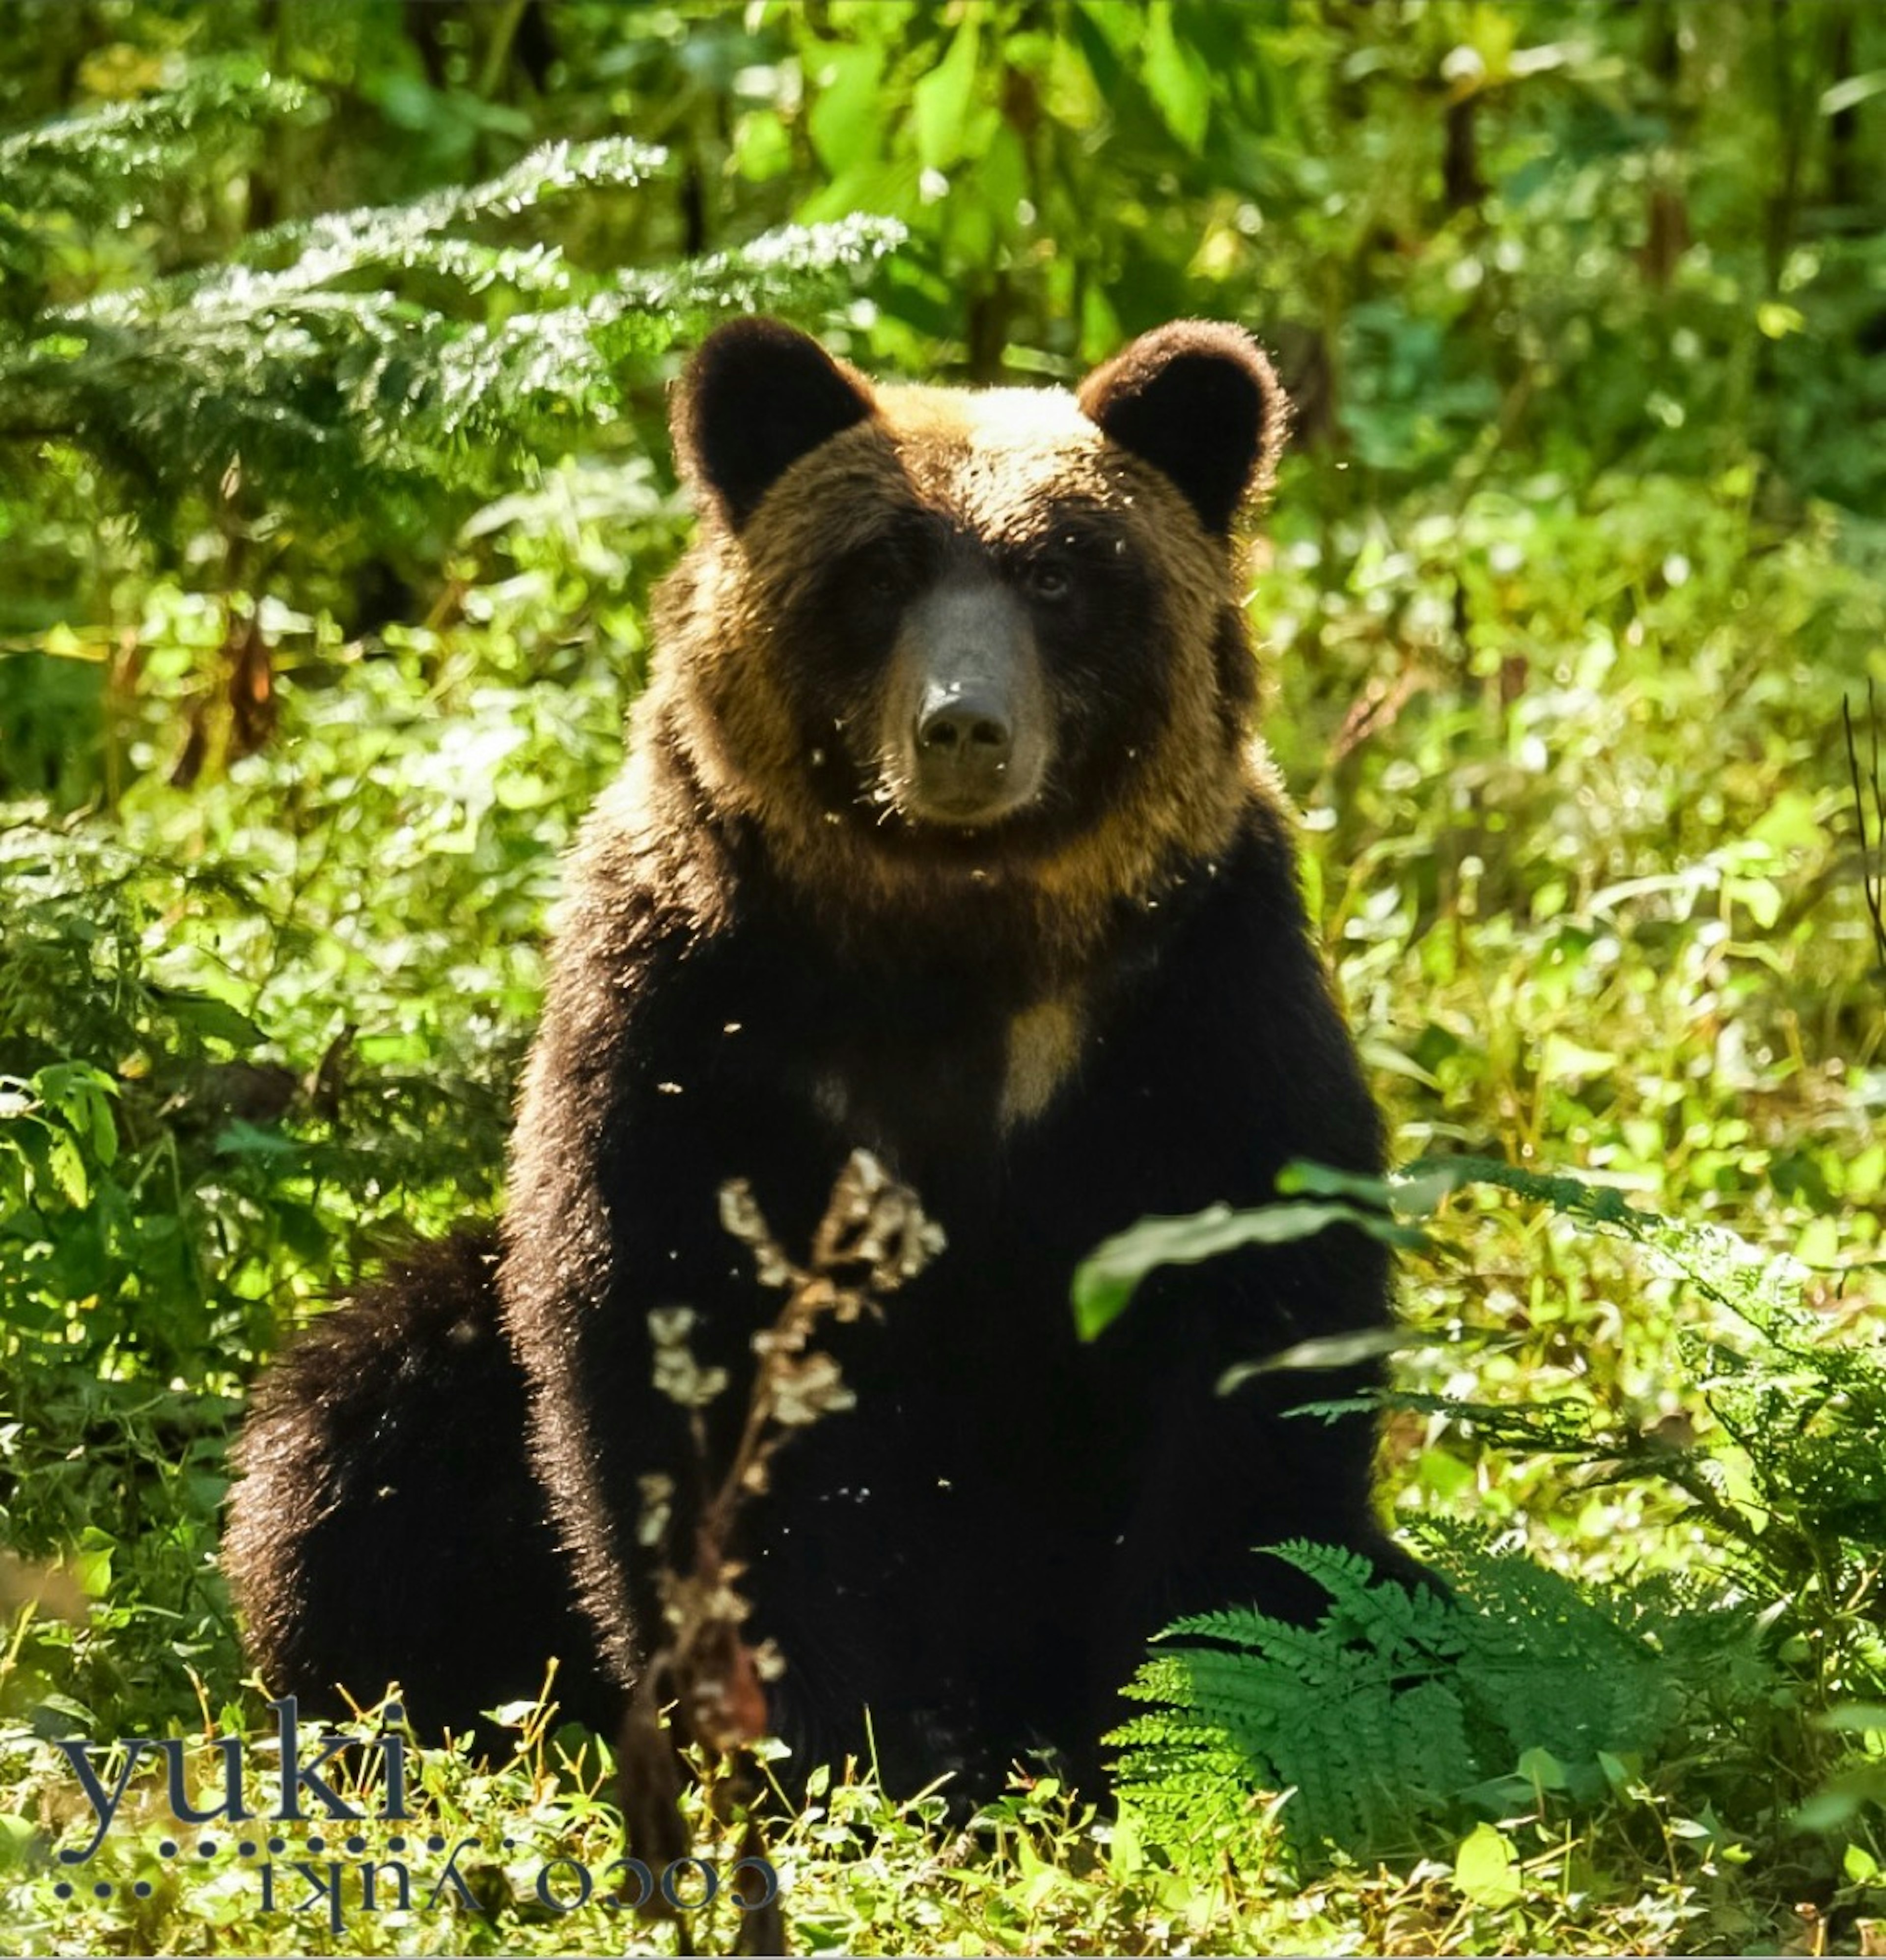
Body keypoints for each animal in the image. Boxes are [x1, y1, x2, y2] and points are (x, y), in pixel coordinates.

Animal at [221, 313, 1404, 1795]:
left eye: (1060, 571)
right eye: (883, 569)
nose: (963, 729)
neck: (955, 946)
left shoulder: (1197, 998)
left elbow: (1256, 1333)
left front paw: (1184, 1702)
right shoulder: (698, 1010)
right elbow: (688, 1354)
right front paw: (843, 1741)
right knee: (349, 1439)